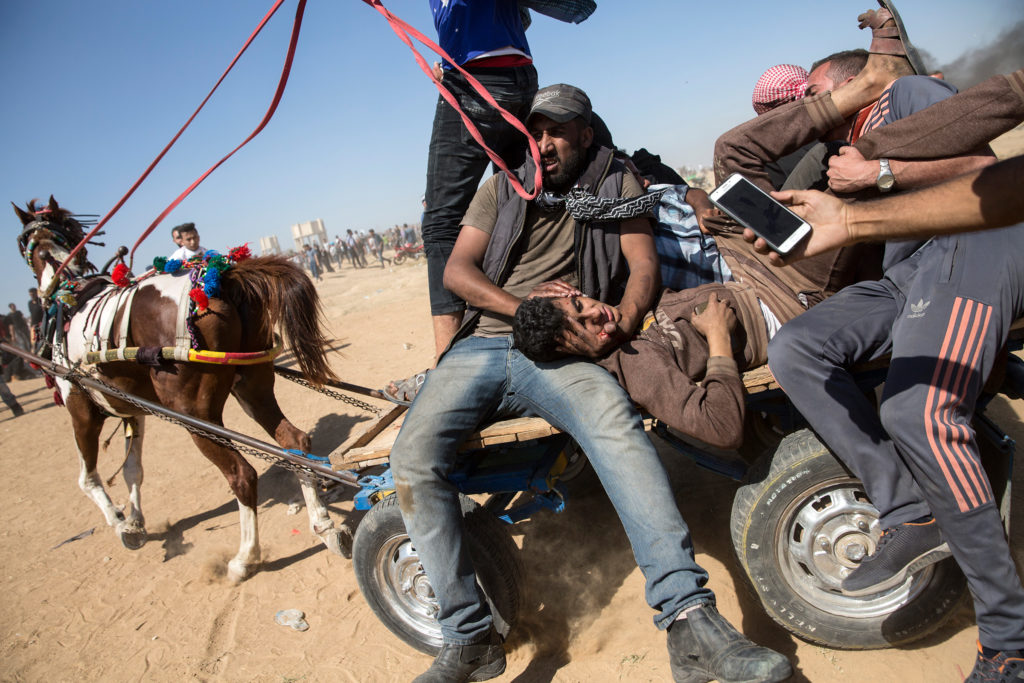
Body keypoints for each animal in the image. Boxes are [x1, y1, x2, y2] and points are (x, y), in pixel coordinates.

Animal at [14, 197, 350, 581]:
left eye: (22, 244)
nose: (42, 294)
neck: (70, 297)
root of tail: (225, 278)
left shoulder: (80, 405)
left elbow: (88, 478)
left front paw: (121, 523)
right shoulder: (132, 409)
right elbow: (133, 469)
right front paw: (135, 521)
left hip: (194, 414)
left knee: (242, 474)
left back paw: (244, 559)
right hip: (253, 385)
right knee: (293, 443)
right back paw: (324, 526)